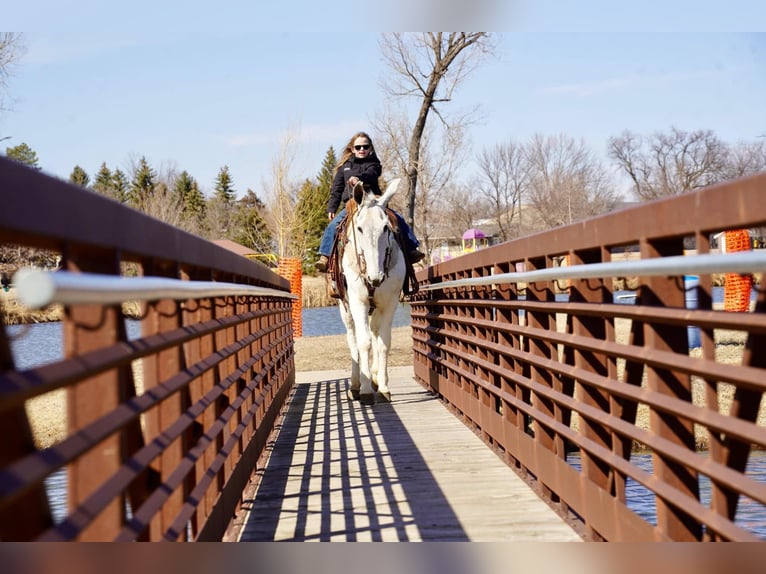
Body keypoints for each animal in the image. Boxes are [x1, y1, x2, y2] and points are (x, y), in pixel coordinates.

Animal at [340, 179, 404, 404]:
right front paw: (366, 389)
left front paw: (383, 386)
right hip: (345, 308)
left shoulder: (390, 302)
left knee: (375, 331)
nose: (376, 277)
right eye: (359, 228)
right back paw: (355, 384)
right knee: (353, 339)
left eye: (386, 228)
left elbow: (383, 342)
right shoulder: (358, 302)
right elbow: (364, 343)